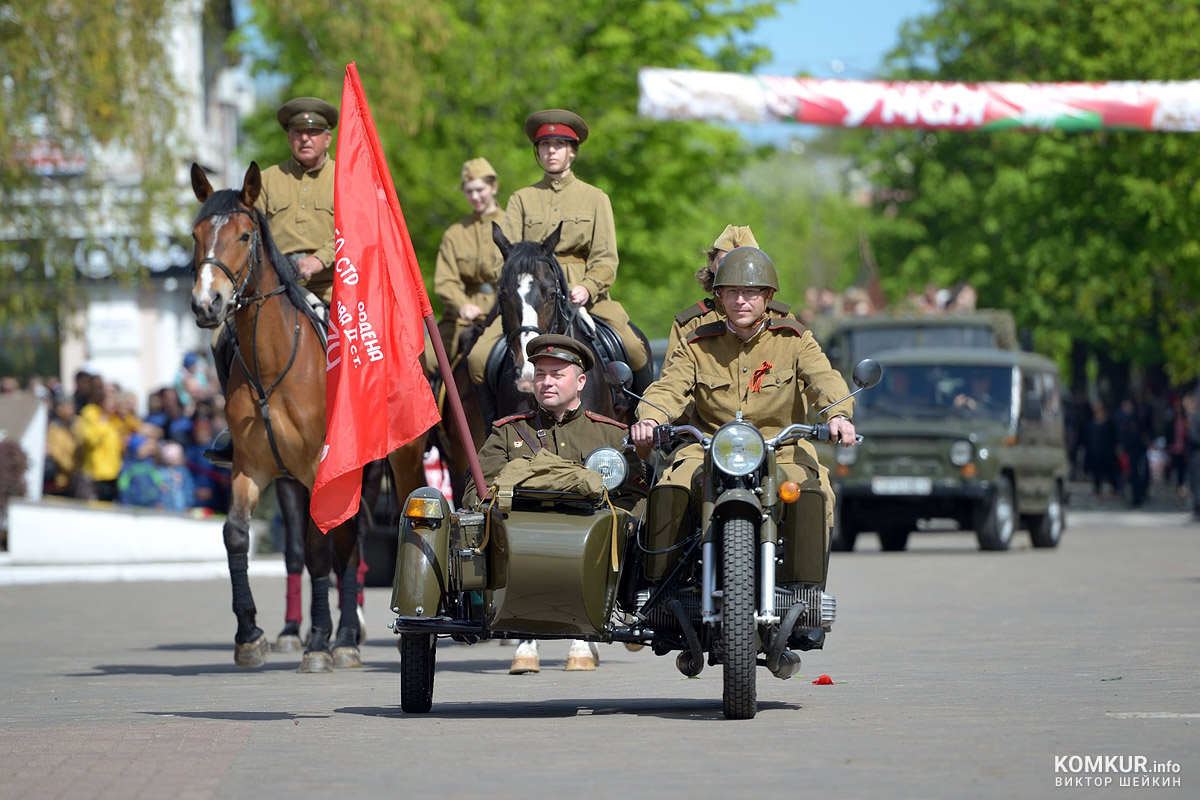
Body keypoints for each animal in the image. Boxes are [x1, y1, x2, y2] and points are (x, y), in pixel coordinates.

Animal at [188, 159, 427, 671]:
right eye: (195, 234)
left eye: (244, 235)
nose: (206, 303)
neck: (272, 366)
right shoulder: (251, 468)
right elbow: (237, 535)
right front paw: (250, 635)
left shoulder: (321, 468)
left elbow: (320, 549)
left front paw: (319, 642)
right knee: (351, 540)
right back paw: (347, 633)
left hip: (400, 461)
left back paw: (351, 637)